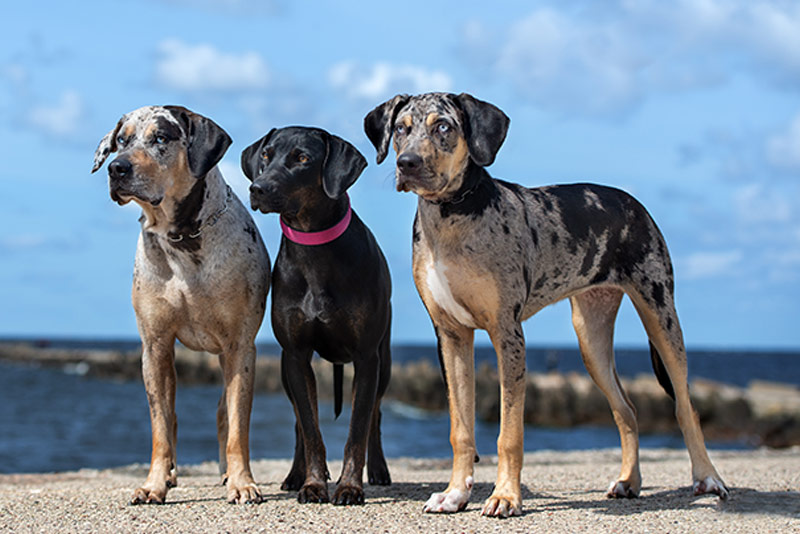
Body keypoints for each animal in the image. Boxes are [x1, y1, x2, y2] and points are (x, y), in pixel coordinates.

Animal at [92, 108, 270, 506]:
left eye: (161, 138)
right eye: (121, 140)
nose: (117, 168)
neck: (181, 236)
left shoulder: (240, 346)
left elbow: (237, 423)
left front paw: (242, 482)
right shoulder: (155, 345)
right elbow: (161, 424)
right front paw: (154, 484)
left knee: (223, 413)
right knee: (171, 417)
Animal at [244, 125, 394, 506]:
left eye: (302, 158)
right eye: (265, 155)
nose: (258, 188)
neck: (313, 246)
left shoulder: (366, 357)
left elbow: (358, 428)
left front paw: (350, 486)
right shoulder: (295, 355)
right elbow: (310, 428)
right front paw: (313, 483)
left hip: (384, 359)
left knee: (376, 413)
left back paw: (379, 469)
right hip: (285, 372)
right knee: (300, 418)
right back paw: (296, 475)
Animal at [366, 93, 728, 520]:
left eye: (444, 126)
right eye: (400, 127)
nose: (407, 163)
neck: (451, 217)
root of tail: (631, 201)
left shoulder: (508, 334)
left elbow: (509, 433)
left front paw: (505, 497)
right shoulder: (451, 336)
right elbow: (460, 429)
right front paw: (455, 494)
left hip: (661, 314)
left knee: (686, 406)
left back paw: (708, 479)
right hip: (591, 339)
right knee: (627, 410)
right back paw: (629, 480)